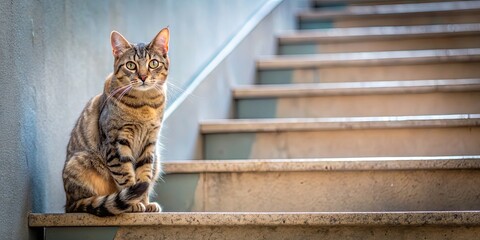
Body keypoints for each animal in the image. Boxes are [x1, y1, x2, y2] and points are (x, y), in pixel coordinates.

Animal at [62, 27, 169, 217]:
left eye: (153, 63)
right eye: (131, 65)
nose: (143, 76)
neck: (145, 105)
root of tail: (68, 203)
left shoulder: (149, 143)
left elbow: (144, 174)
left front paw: (144, 203)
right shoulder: (116, 142)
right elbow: (126, 175)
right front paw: (134, 204)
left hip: (157, 157)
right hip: (79, 162)